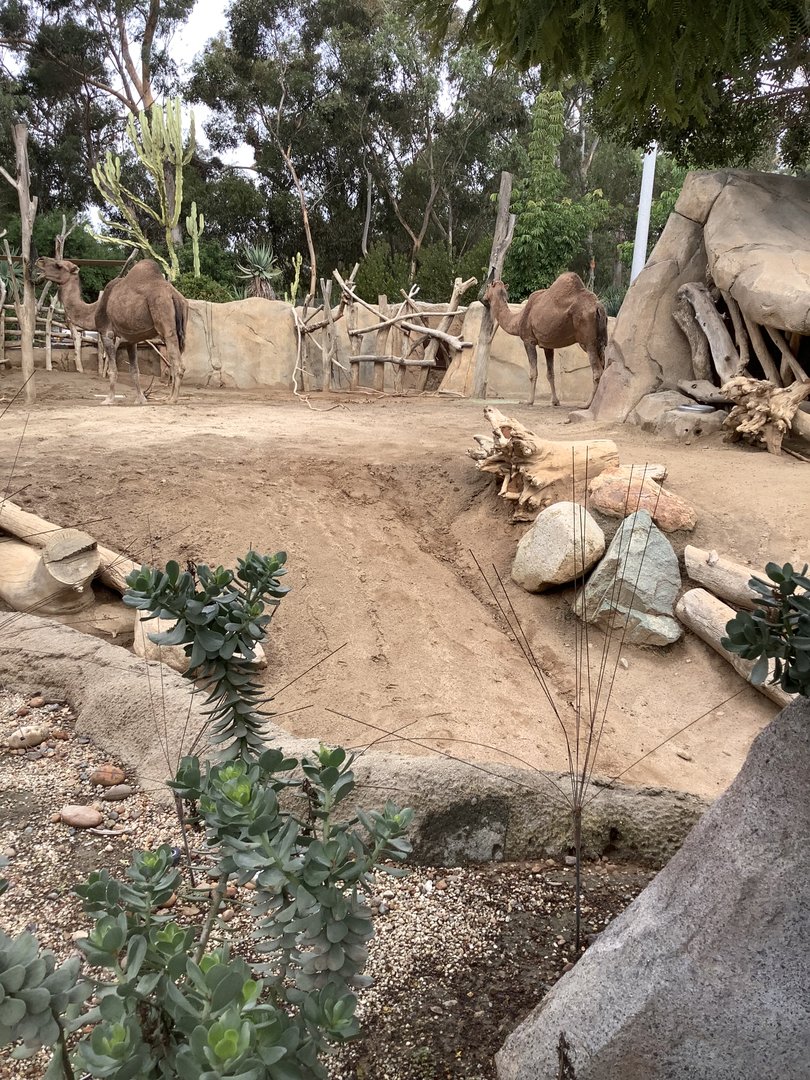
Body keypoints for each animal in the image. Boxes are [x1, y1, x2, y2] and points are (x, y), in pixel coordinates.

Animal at [35, 257, 188, 405]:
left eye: (59, 265)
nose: (40, 260)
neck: (94, 310)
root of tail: (174, 296)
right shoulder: (131, 340)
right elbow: (134, 371)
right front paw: (140, 399)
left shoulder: (106, 333)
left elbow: (112, 370)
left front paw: (108, 399)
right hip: (181, 330)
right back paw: (169, 397)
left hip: (164, 320)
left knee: (178, 365)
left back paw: (172, 399)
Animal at [483, 273, 608, 407]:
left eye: (487, 286)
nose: (483, 298)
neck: (518, 319)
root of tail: (598, 307)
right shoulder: (548, 345)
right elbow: (550, 373)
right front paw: (555, 401)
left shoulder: (528, 340)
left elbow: (533, 372)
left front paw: (528, 401)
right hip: (600, 342)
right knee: (603, 367)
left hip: (588, 341)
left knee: (597, 371)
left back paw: (586, 404)